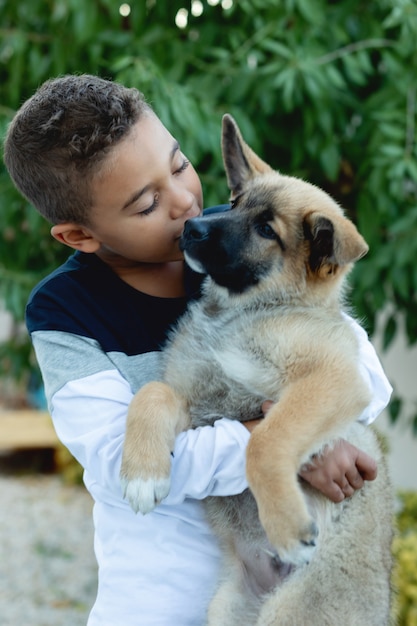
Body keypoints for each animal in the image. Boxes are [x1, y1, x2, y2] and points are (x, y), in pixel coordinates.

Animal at [118, 114, 392, 620]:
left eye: (267, 230)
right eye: (233, 203)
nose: (192, 227)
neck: (241, 312)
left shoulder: (334, 378)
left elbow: (266, 440)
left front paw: (285, 524)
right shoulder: (195, 401)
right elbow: (152, 394)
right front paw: (142, 473)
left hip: (293, 611)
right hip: (226, 608)